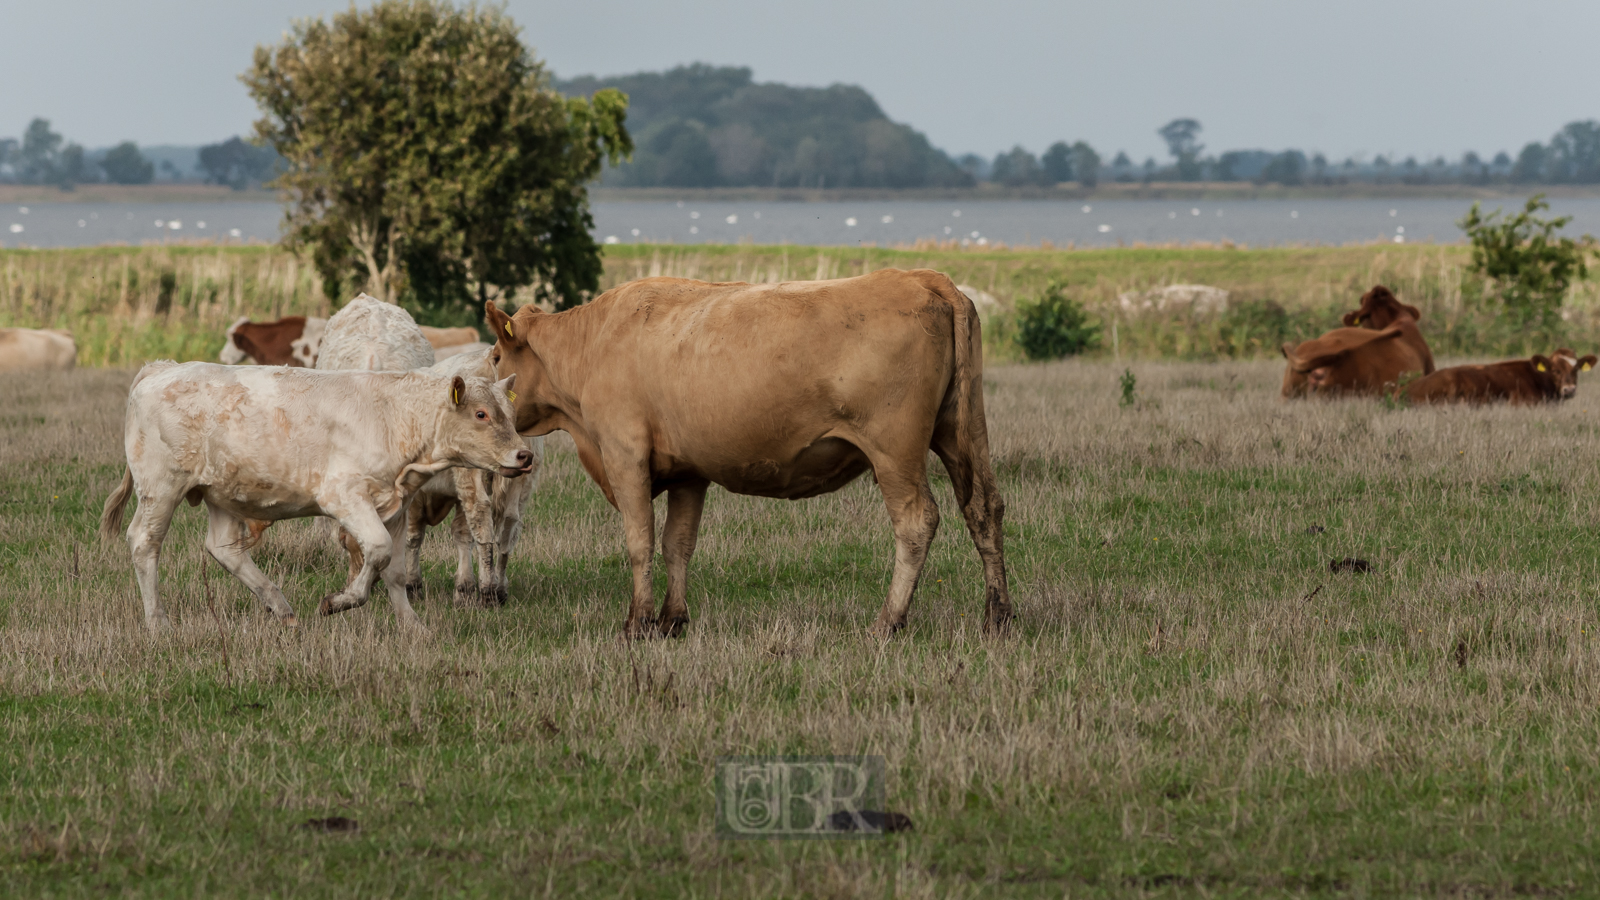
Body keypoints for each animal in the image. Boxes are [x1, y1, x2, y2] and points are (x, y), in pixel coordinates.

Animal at [483, 265, 1011, 637]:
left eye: (494, 355)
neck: (592, 342)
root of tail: (926, 278)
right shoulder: (689, 470)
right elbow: (678, 544)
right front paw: (673, 621)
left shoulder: (624, 452)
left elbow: (640, 542)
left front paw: (638, 623)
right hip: (962, 431)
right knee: (983, 508)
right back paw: (997, 616)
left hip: (895, 450)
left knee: (917, 521)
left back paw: (888, 621)